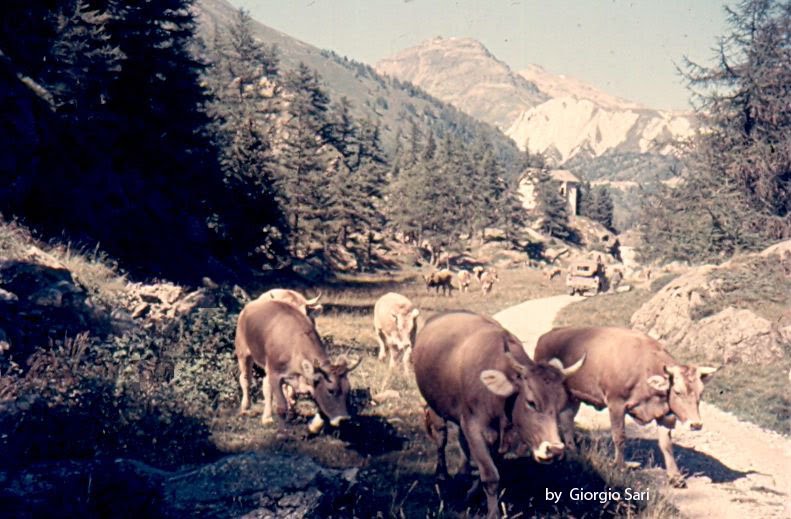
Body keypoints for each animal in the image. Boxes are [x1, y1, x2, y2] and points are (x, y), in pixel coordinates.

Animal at [234, 298, 360, 436]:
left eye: (348, 390)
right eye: (330, 390)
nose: (343, 419)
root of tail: (249, 306)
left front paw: (313, 427)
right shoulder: (275, 374)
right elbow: (281, 406)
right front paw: (282, 433)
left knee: (266, 385)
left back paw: (267, 417)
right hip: (243, 352)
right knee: (245, 380)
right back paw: (245, 408)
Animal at [414, 310, 588, 516]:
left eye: (561, 404)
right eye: (531, 402)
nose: (555, 450)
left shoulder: (496, 436)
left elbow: (490, 468)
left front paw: (470, 495)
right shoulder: (473, 426)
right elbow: (490, 476)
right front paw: (492, 513)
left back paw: (464, 470)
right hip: (434, 405)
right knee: (441, 437)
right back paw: (441, 475)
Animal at [536, 328, 716, 490]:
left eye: (701, 393)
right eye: (677, 392)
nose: (696, 424)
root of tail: (547, 336)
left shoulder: (665, 415)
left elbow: (666, 445)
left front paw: (675, 477)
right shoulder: (616, 403)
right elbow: (619, 436)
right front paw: (620, 466)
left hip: (573, 396)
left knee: (567, 419)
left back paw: (573, 450)